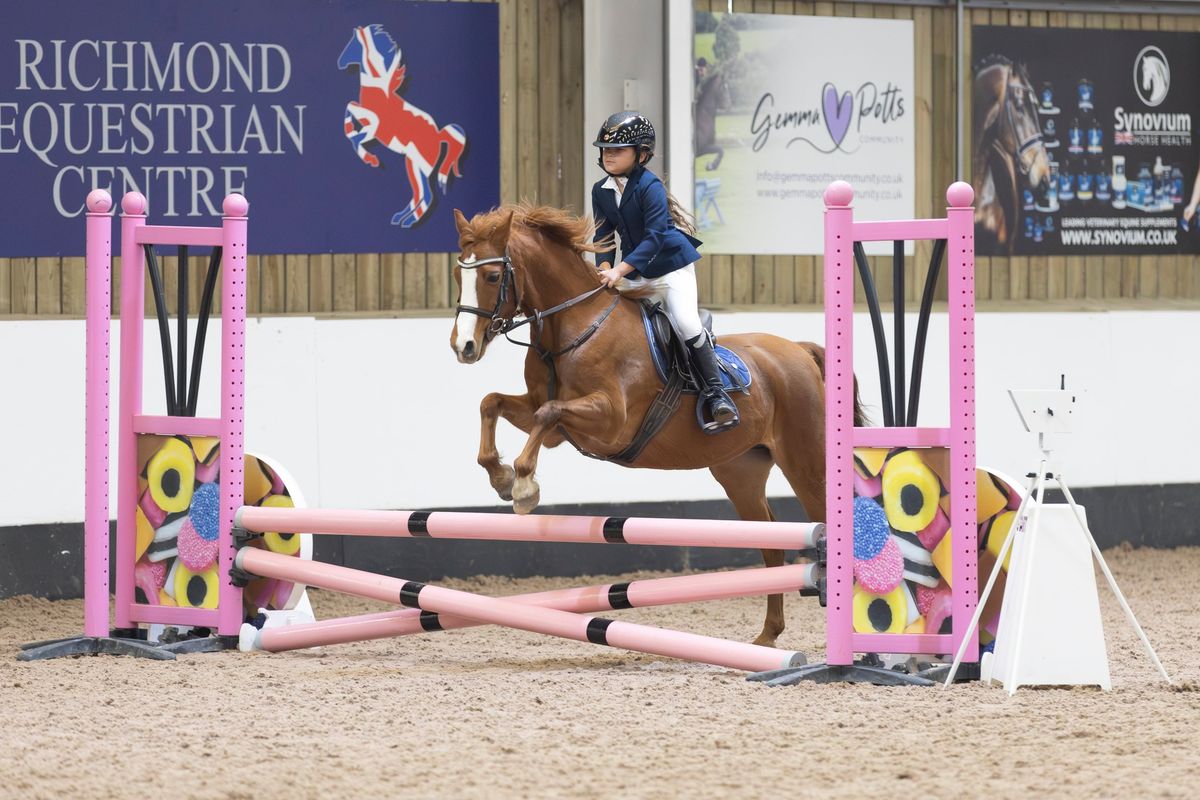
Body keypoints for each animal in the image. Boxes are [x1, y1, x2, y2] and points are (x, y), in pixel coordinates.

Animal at [451, 203, 864, 647]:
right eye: (459, 275)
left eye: (493, 277)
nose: (464, 347)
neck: (574, 325)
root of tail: (800, 351)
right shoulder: (549, 418)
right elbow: (492, 403)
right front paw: (500, 476)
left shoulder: (609, 420)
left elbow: (546, 415)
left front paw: (524, 486)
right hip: (741, 472)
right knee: (771, 545)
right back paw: (768, 636)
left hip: (807, 462)